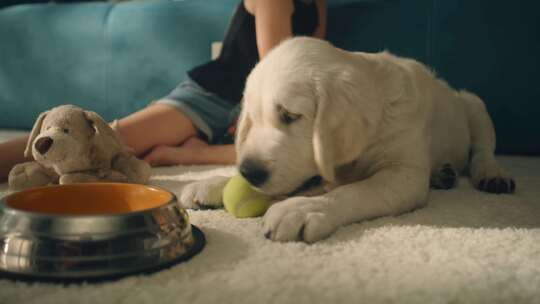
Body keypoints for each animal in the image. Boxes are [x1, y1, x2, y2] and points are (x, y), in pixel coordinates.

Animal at [180, 36, 516, 243]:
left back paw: (492, 174)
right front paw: (214, 183)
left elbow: (356, 191)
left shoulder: (403, 174)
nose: (249, 171)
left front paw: (303, 209)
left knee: (483, 149)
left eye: (290, 116)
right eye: (253, 120)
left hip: (474, 105)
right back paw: (442, 173)